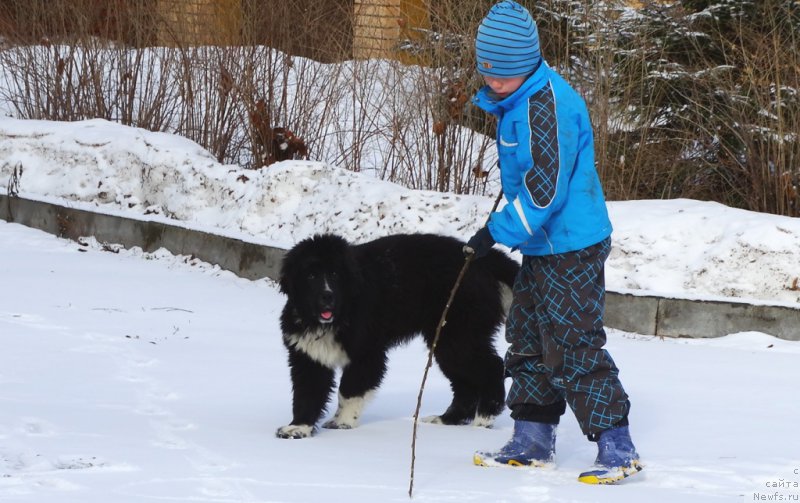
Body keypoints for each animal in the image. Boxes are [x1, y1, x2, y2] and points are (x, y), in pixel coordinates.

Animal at [276, 234, 520, 440]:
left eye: (335, 274)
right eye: (311, 275)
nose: (327, 297)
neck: (332, 319)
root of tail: (483, 260)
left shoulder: (367, 352)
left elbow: (349, 390)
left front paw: (342, 423)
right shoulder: (307, 355)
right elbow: (307, 393)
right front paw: (298, 427)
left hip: (459, 336)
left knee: (493, 367)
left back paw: (483, 419)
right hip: (448, 340)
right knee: (465, 385)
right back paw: (446, 419)